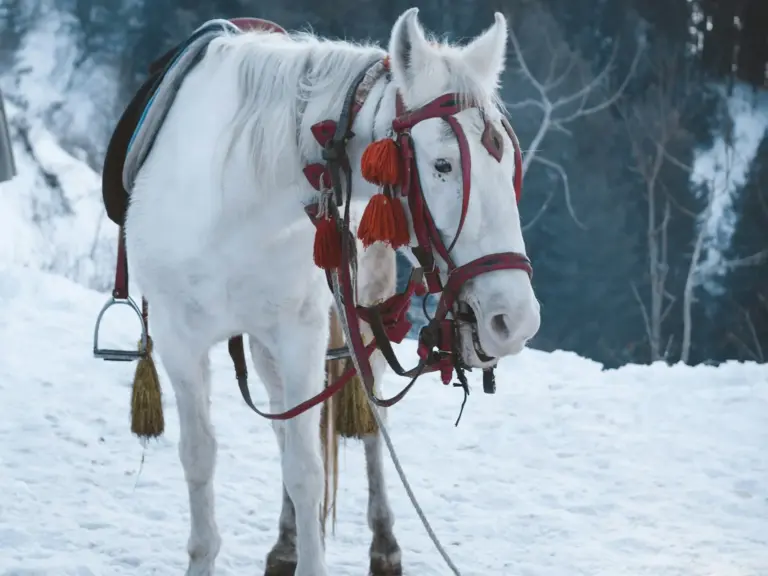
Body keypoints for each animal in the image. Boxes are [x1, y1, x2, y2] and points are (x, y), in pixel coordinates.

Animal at [119, 7, 540, 575]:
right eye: (443, 165)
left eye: (508, 164)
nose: (515, 321)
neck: (239, 198)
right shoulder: (177, 337)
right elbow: (202, 455)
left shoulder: (300, 333)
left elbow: (305, 468)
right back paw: (286, 543)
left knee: (368, 420)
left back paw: (382, 543)